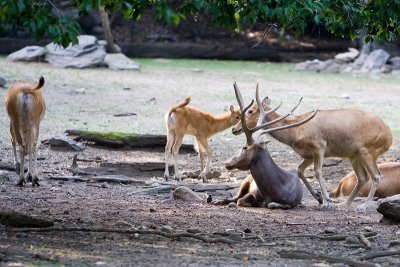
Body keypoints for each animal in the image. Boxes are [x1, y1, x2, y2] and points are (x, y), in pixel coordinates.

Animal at [233, 84, 392, 211]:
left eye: (250, 111)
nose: (234, 129)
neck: (295, 131)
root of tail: (389, 135)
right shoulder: (308, 155)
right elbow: (299, 171)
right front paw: (319, 197)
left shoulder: (319, 146)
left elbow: (317, 171)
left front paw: (326, 201)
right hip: (354, 155)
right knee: (362, 177)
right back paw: (344, 204)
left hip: (368, 151)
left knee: (376, 175)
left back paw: (363, 206)